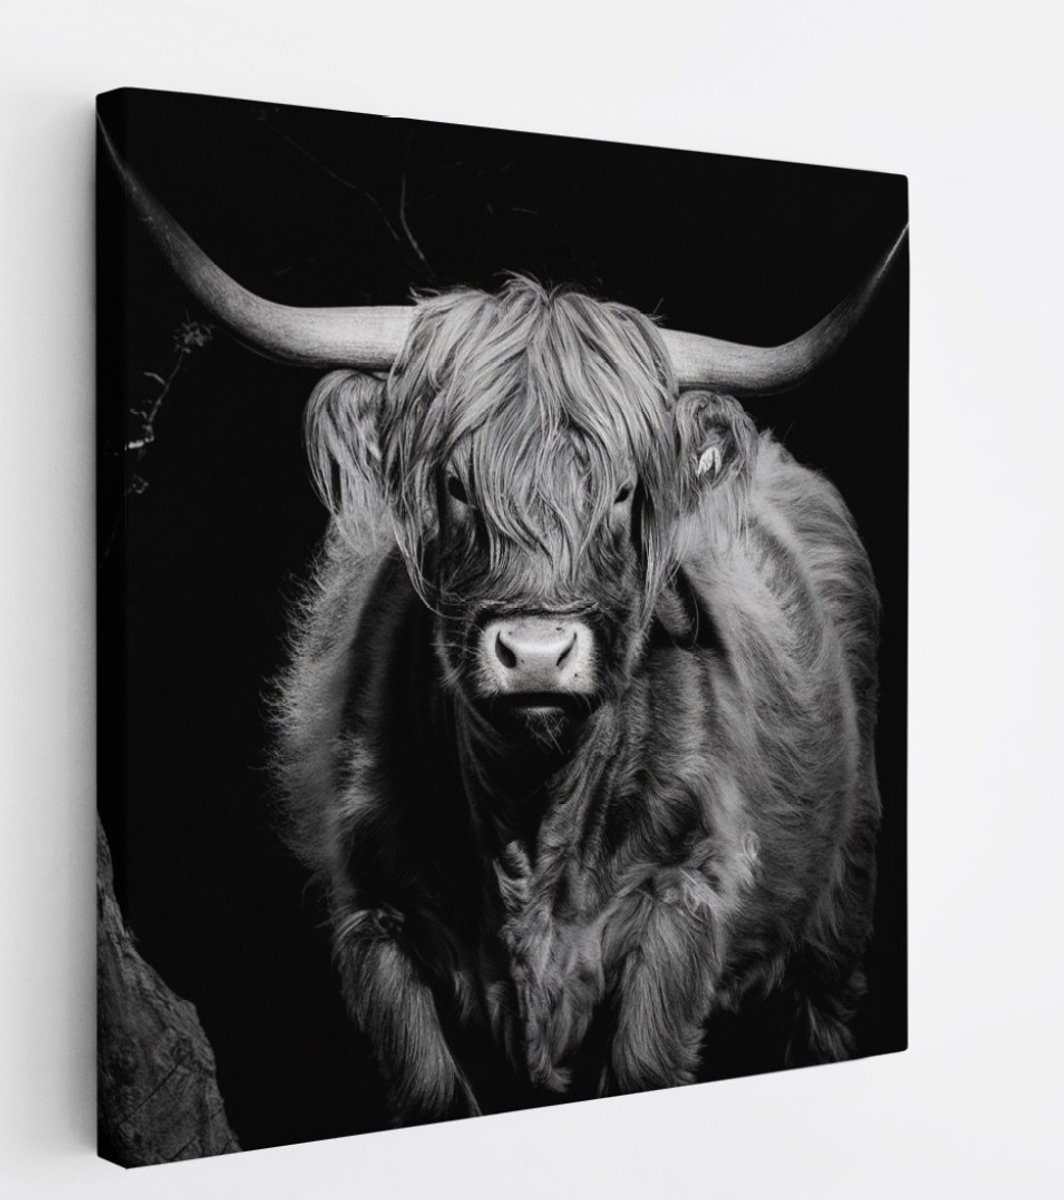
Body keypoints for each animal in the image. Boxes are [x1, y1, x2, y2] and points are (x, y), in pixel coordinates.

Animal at [103, 122, 903, 1125]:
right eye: (454, 482)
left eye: (623, 492)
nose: (536, 655)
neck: (532, 817)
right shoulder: (374, 918)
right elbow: (430, 1089)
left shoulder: (688, 898)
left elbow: (644, 1063)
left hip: (841, 905)